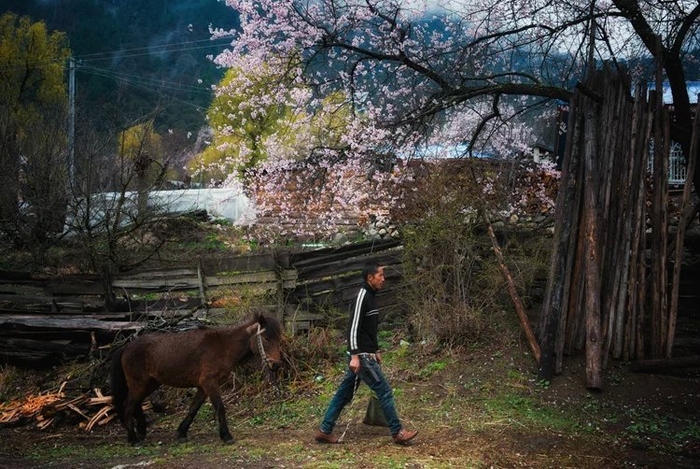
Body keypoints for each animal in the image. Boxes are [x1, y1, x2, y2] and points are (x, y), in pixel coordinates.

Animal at [109, 312, 282, 444]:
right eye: (266, 338)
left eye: (278, 338)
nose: (276, 365)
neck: (223, 346)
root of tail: (126, 347)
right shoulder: (209, 383)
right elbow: (220, 407)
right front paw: (226, 436)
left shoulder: (203, 387)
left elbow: (193, 409)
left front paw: (181, 433)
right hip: (139, 385)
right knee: (128, 406)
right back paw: (133, 439)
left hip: (149, 384)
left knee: (135, 405)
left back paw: (140, 433)